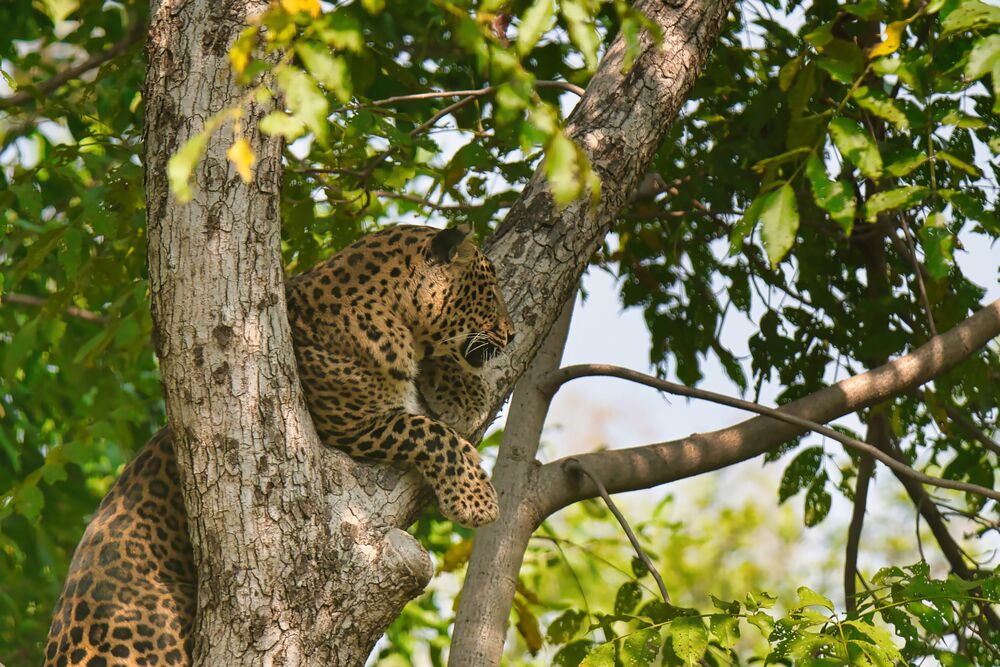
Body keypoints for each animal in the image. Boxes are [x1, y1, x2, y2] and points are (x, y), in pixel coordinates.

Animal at [43, 224, 515, 666]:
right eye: (491, 292)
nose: (511, 335)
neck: (392, 316)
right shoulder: (350, 422)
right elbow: (432, 433)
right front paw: (477, 501)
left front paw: (463, 391)